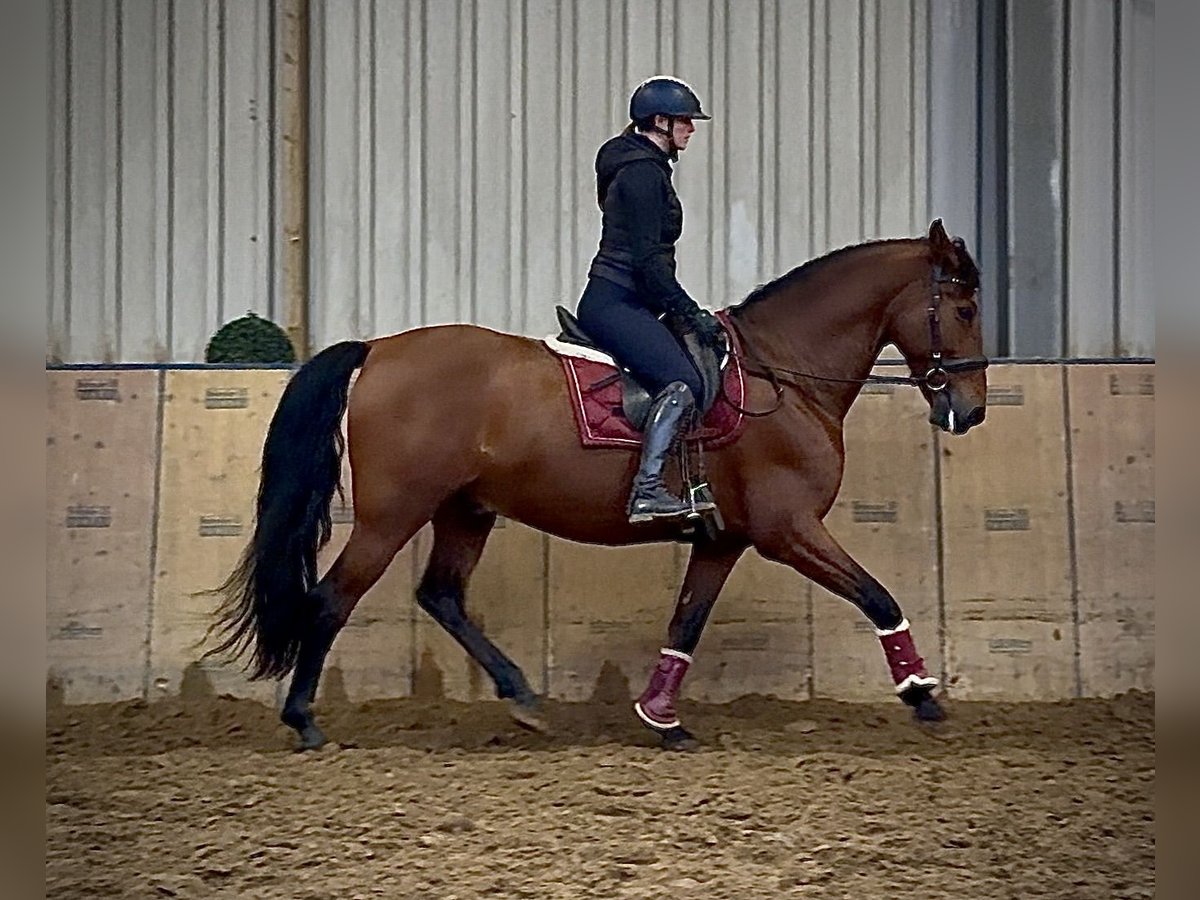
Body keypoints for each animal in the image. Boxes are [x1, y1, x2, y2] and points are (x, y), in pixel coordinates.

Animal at [207, 218, 988, 751]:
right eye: (965, 310)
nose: (971, 411)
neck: (784, 371)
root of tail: (376, 349)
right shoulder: (787, 529)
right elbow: (878, 595)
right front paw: (921, 693)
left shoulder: (725, 539)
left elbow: (686, 623)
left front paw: (662, 718)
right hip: (391, 516)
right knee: (332, 599)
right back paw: (305, 721)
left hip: (466, 509)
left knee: (441, 595)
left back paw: (522, 696)